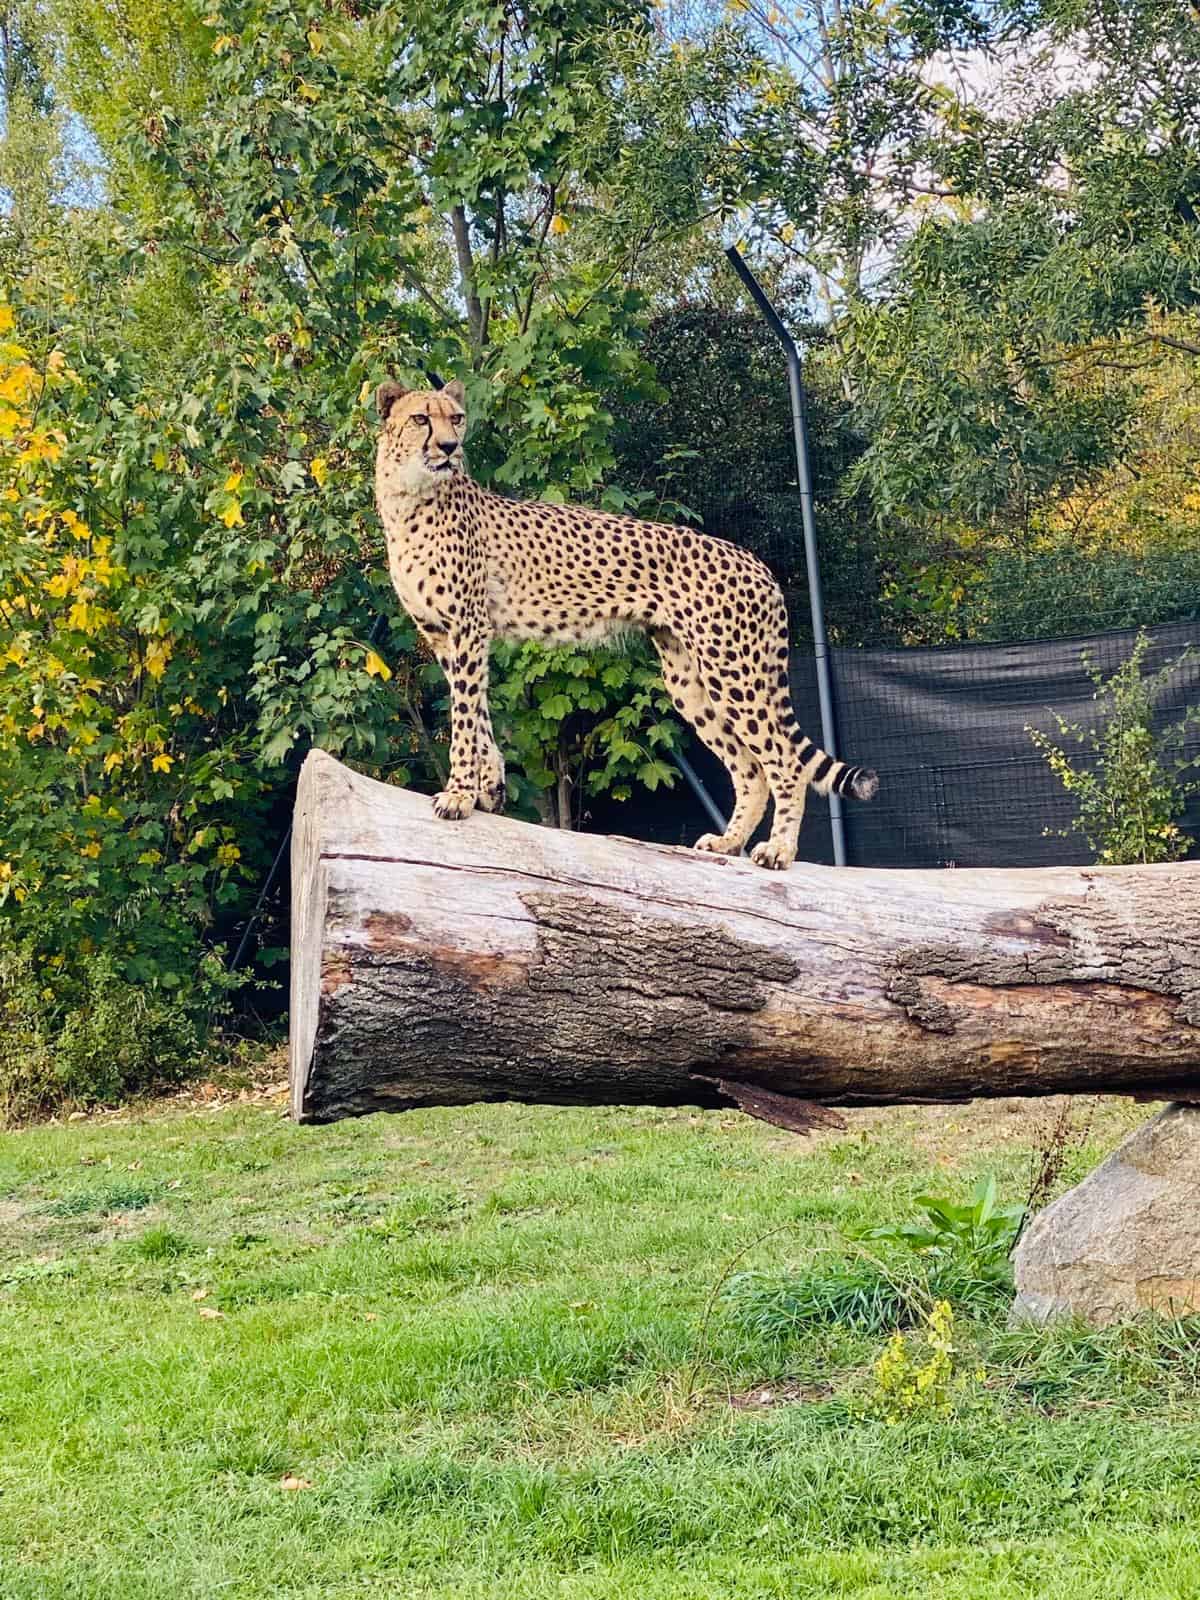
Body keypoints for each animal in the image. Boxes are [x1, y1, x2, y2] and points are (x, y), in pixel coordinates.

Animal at [371, 379, 876, 870]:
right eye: (421, 419)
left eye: (455, 418)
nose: (450, 446)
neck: (408, 496)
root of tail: (757, 563)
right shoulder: (446, 636)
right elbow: (477, 716)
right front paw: (487, 785)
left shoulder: (467, 629)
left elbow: (463, 718)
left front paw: (458, 794)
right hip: (689, 679)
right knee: (750, 769)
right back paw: (728, 843)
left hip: (732, 670)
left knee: (784, 761)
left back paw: (779, 851)